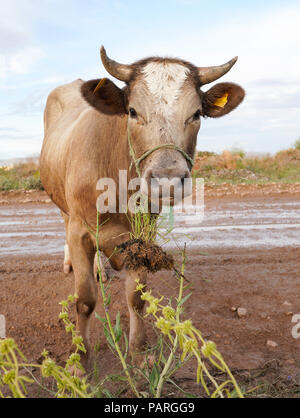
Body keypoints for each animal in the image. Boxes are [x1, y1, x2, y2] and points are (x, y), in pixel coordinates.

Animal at [39, 46, 244, 370]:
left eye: (196, 114)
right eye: (133, 111)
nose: (168, 180)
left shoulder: (143, 236)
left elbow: (137, 296)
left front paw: (139, 350)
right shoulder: (80, 231)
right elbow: (85, 299)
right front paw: (79, 360)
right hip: (61, 201)